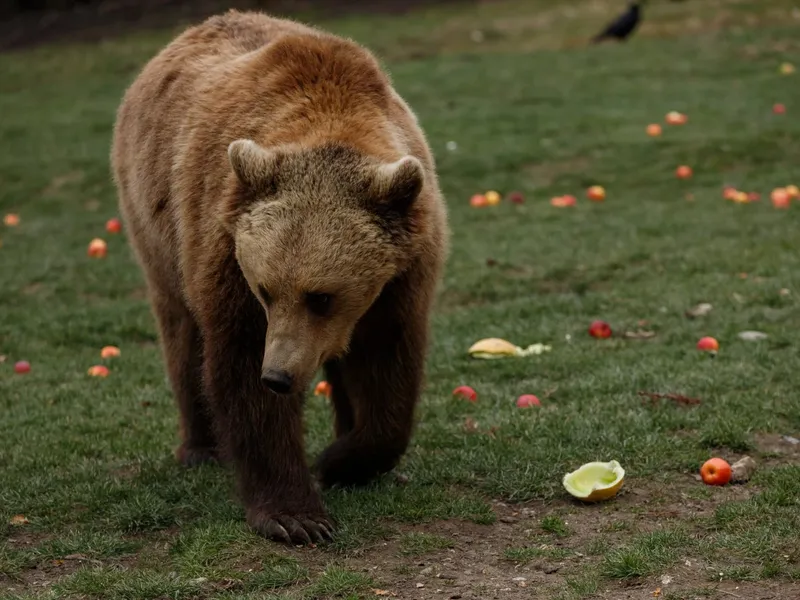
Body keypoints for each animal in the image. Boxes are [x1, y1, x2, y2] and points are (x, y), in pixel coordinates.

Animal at [111, 9, 450, 548]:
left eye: (322, 296)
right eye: (265, 290)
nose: (279, 375)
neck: (331, 122)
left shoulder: (403, 272)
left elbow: (386, 366)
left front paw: (343, 459)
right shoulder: (226, 245)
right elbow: (239, 365)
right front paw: (297, 516)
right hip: (155, 224)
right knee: (182, 331)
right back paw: (200, 448)